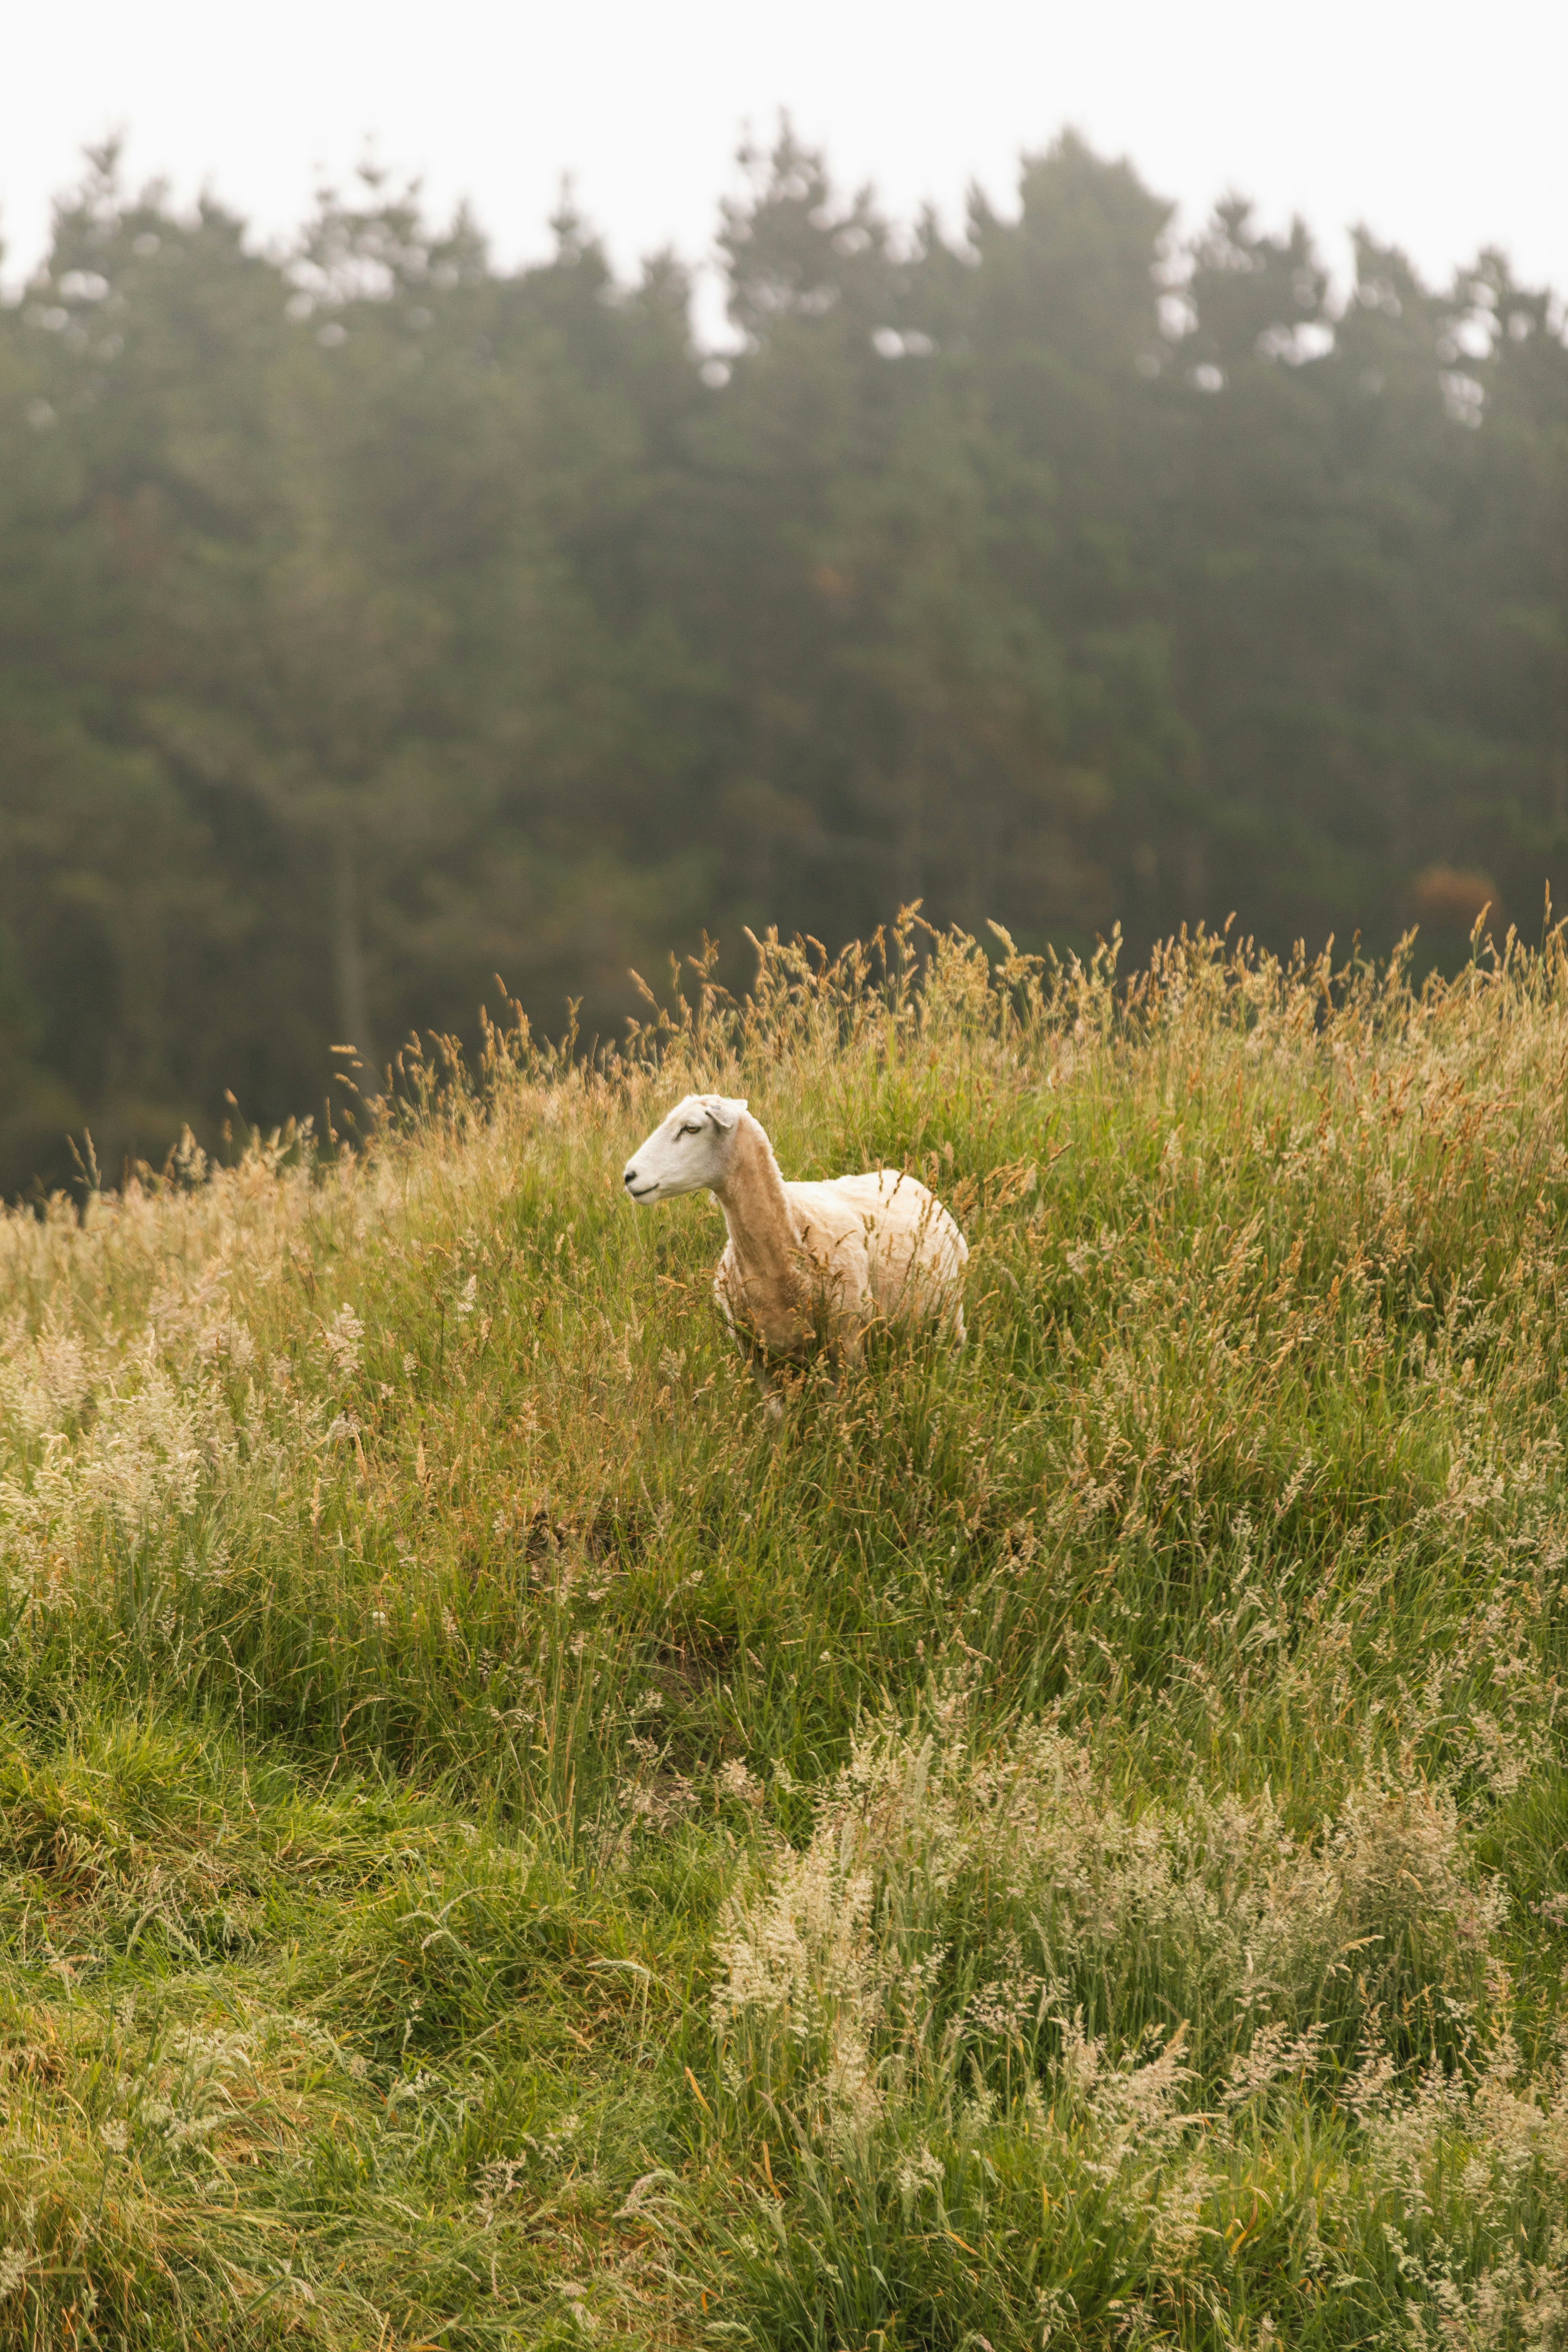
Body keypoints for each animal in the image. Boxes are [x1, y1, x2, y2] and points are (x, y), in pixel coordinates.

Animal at [622, 1095, 968, 1389]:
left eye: (691, 1128)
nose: (629, 1176)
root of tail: (911, 1180)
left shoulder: (845, 1346)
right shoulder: (759, 1356)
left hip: (950, 1315)